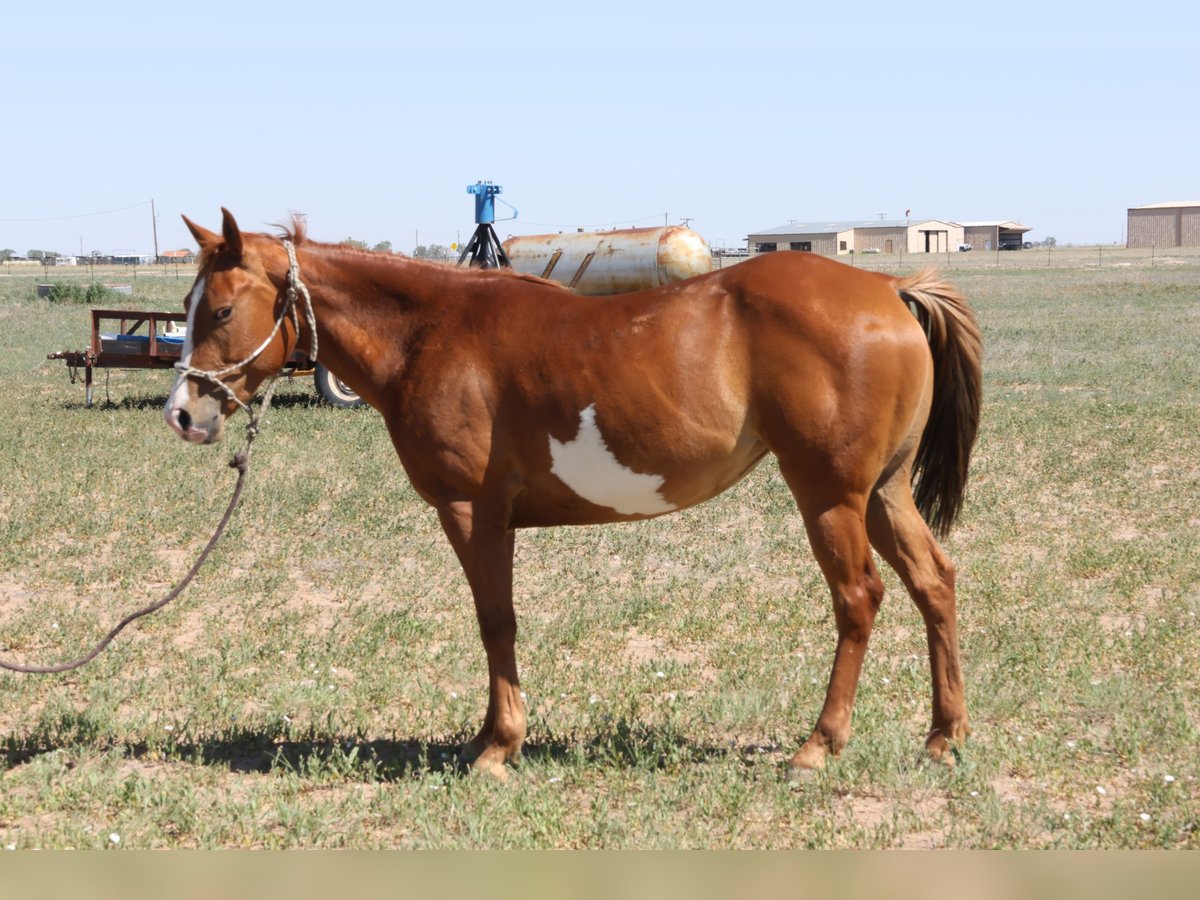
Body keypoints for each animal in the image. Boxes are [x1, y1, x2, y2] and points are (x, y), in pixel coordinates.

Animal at [162, 207, 984, 777]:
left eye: (223, 309)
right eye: (191, 306)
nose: (183, 413)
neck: (432, 332)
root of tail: (889, 287)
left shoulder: (474, 513)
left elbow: (496, 623)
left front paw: (498, 746)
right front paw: (488, 736)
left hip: (830, 497)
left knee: (859, 599)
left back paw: (819, 744)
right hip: (883, 494)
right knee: (934, 582)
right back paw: (944, 736)